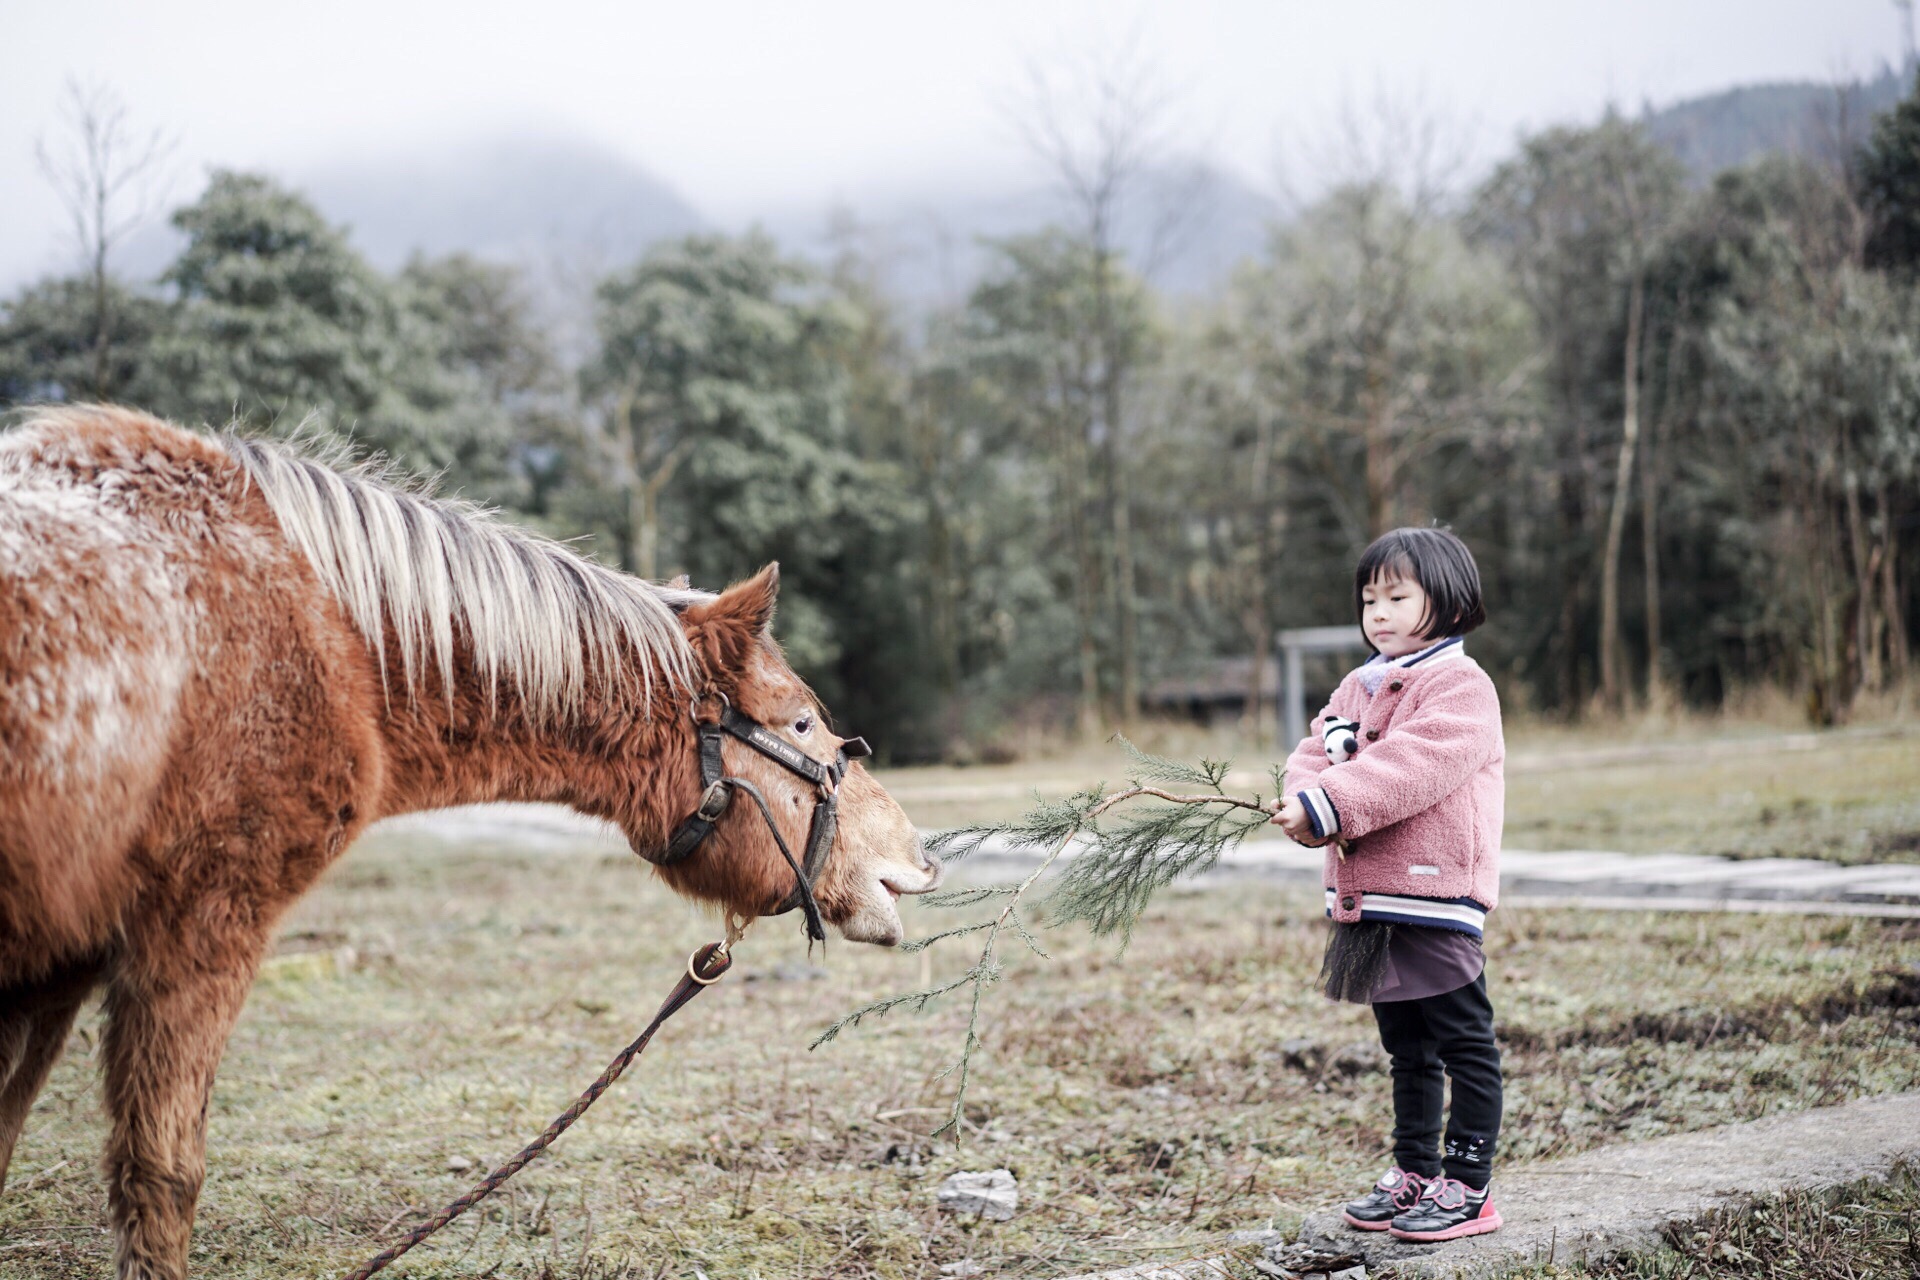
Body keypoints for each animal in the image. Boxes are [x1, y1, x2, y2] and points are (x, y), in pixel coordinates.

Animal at [0, 408, 944, 1280]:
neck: (328, 634)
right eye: (802, 722)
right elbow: (161, 1176)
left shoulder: (60, 966)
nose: (919, 856)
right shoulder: (199, 929)